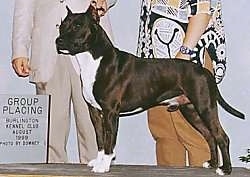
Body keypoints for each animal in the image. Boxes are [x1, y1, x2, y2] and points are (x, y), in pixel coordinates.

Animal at [55, 5, 245, 176]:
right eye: (62, 25)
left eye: (78, 25)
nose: (58, 41)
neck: (95, 60)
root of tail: (204, 71)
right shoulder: (94, 111)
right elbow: (100, 138)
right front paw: (98, 161)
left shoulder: (110, 112)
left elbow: (109, 140)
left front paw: (104, 165)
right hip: (190, 110)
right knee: (209, 135)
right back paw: (212, 163)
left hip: (205, 107)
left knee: (221, 136)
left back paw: (225, 169)